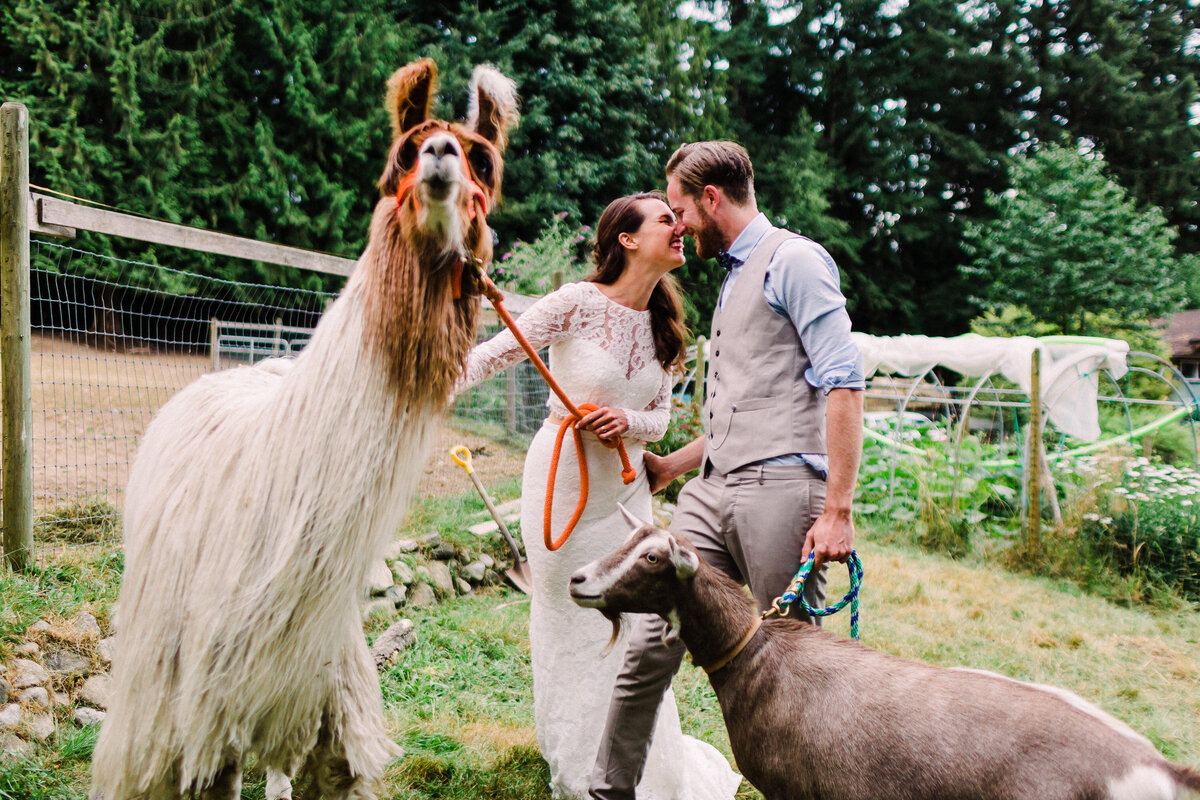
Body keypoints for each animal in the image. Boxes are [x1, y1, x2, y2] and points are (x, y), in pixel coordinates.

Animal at [568, 506, 1200, 800]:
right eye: (631, 541)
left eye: (654, 558)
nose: (577, 579)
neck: (758, 657)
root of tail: (1160, 769)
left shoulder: (794, 788)